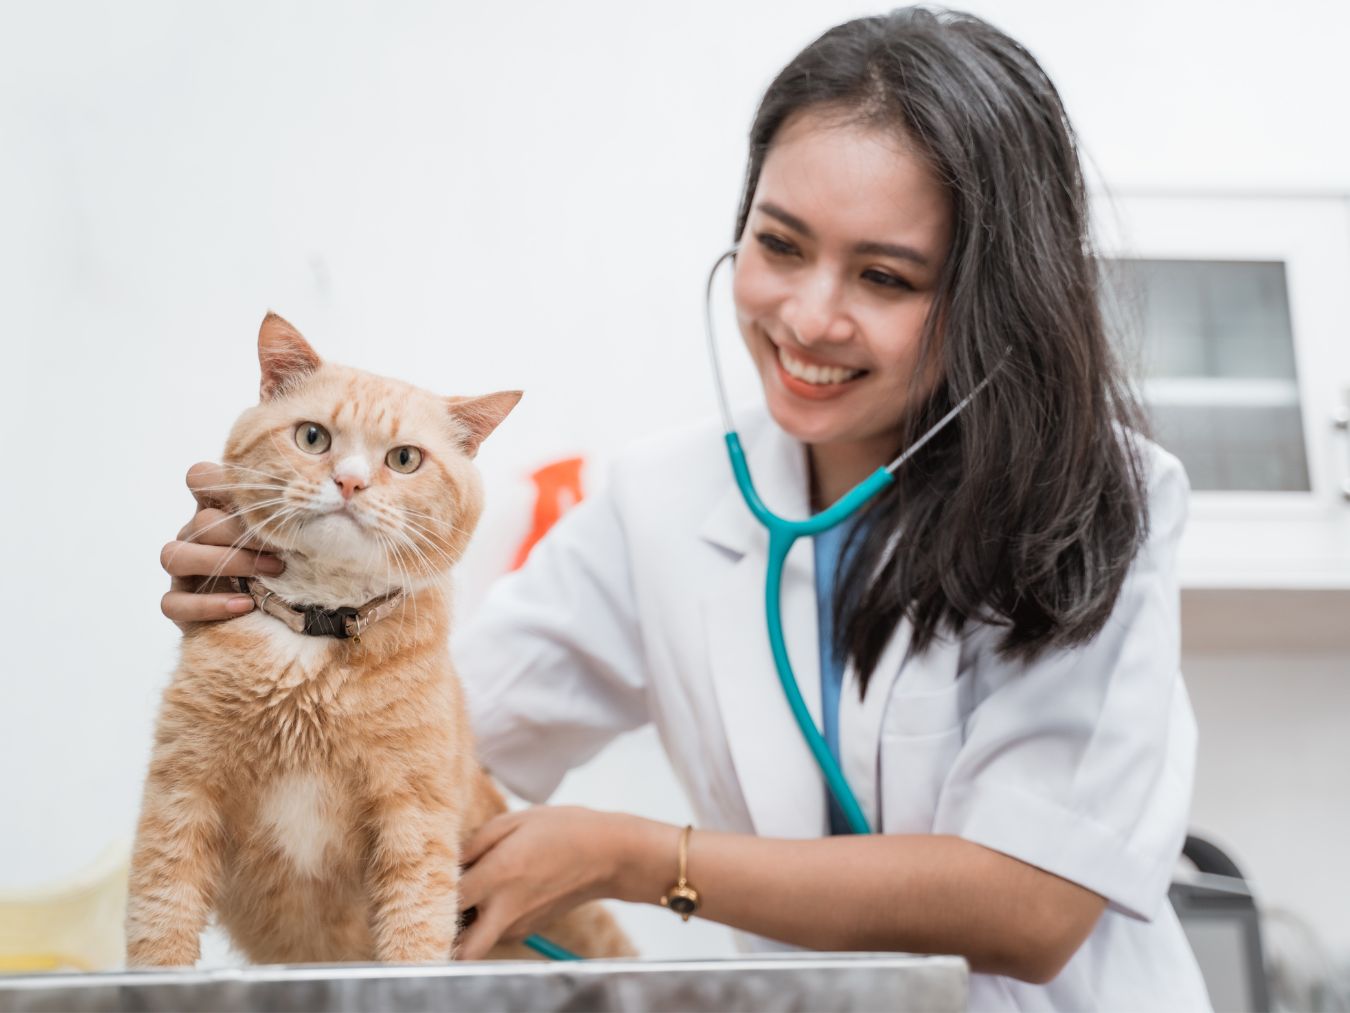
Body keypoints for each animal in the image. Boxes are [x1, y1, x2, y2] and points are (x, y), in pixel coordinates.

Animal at [126, 313, 631, 961]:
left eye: (405, 458)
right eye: (313, 438)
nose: (350, 482)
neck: (315, 633)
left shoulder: (414, 819)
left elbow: (414, 934)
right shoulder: (182, 793)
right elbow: (160, 923)